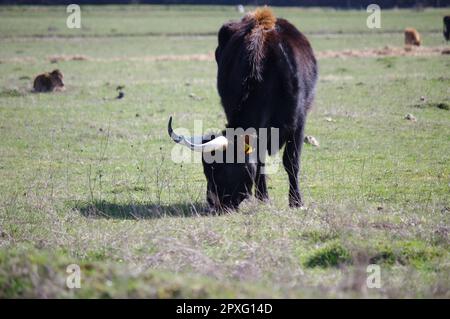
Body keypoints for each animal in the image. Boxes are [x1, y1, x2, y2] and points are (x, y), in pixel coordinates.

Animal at [167, 6, 318, 211]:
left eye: (221, 168)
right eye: (206, 169)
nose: (213, 203)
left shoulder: (298, 122)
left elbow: (292, 162)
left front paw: (296, 202)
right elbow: (260, 162)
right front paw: (263, 198)